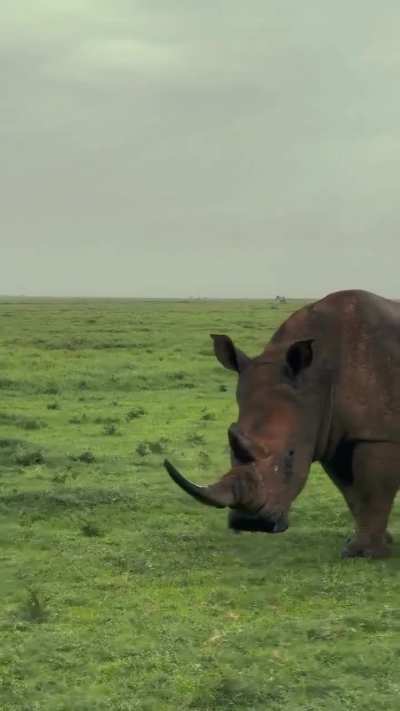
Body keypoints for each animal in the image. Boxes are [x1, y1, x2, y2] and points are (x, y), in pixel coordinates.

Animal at [164, 290, 400, 558]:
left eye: (290, 455)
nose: (250, 523)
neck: (317, 377)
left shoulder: (379, 434)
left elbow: (374, 490)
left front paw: (364, 554)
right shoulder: (330, 432)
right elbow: (352, 492)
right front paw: (367, 542)